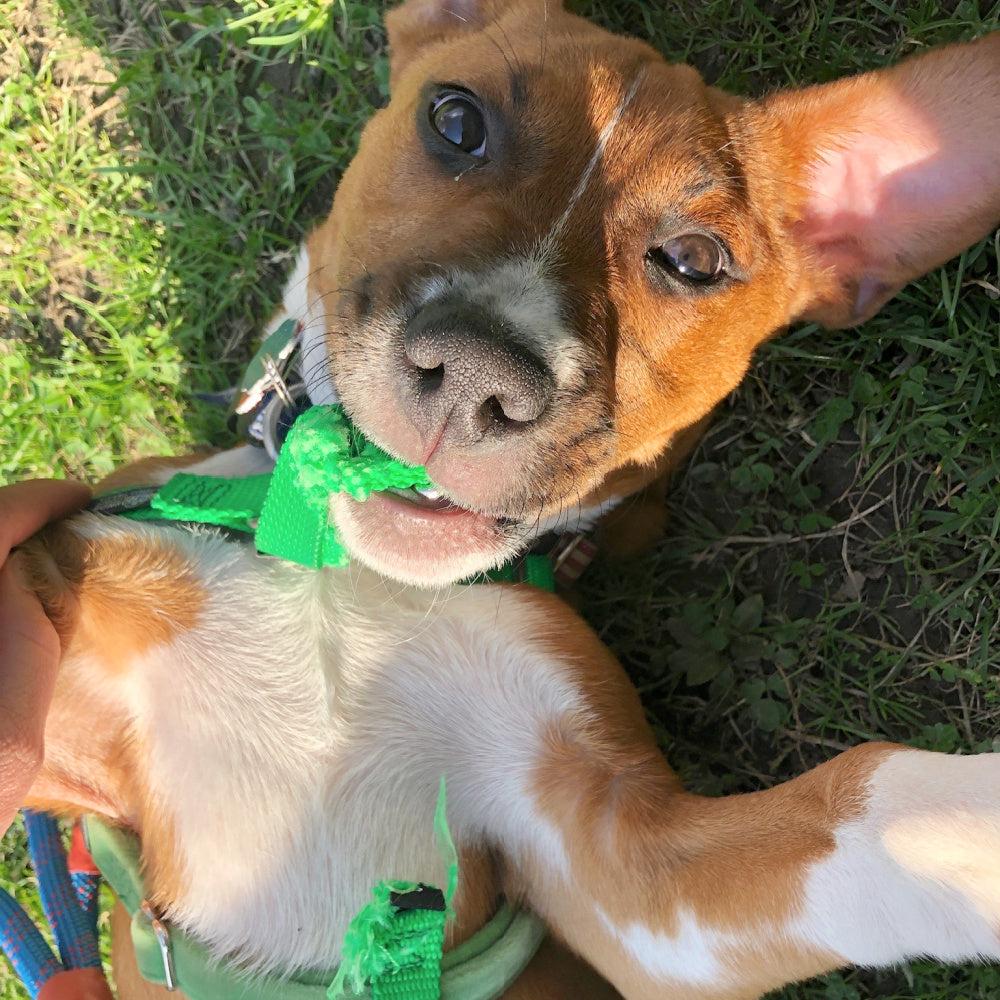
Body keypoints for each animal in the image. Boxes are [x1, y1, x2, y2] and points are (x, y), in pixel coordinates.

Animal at [15, 1, 1000, 1000]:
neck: (342, 571)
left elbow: (877, 798)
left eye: (695, 259)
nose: (474, 374)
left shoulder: (626, 869)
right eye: (456, 122)